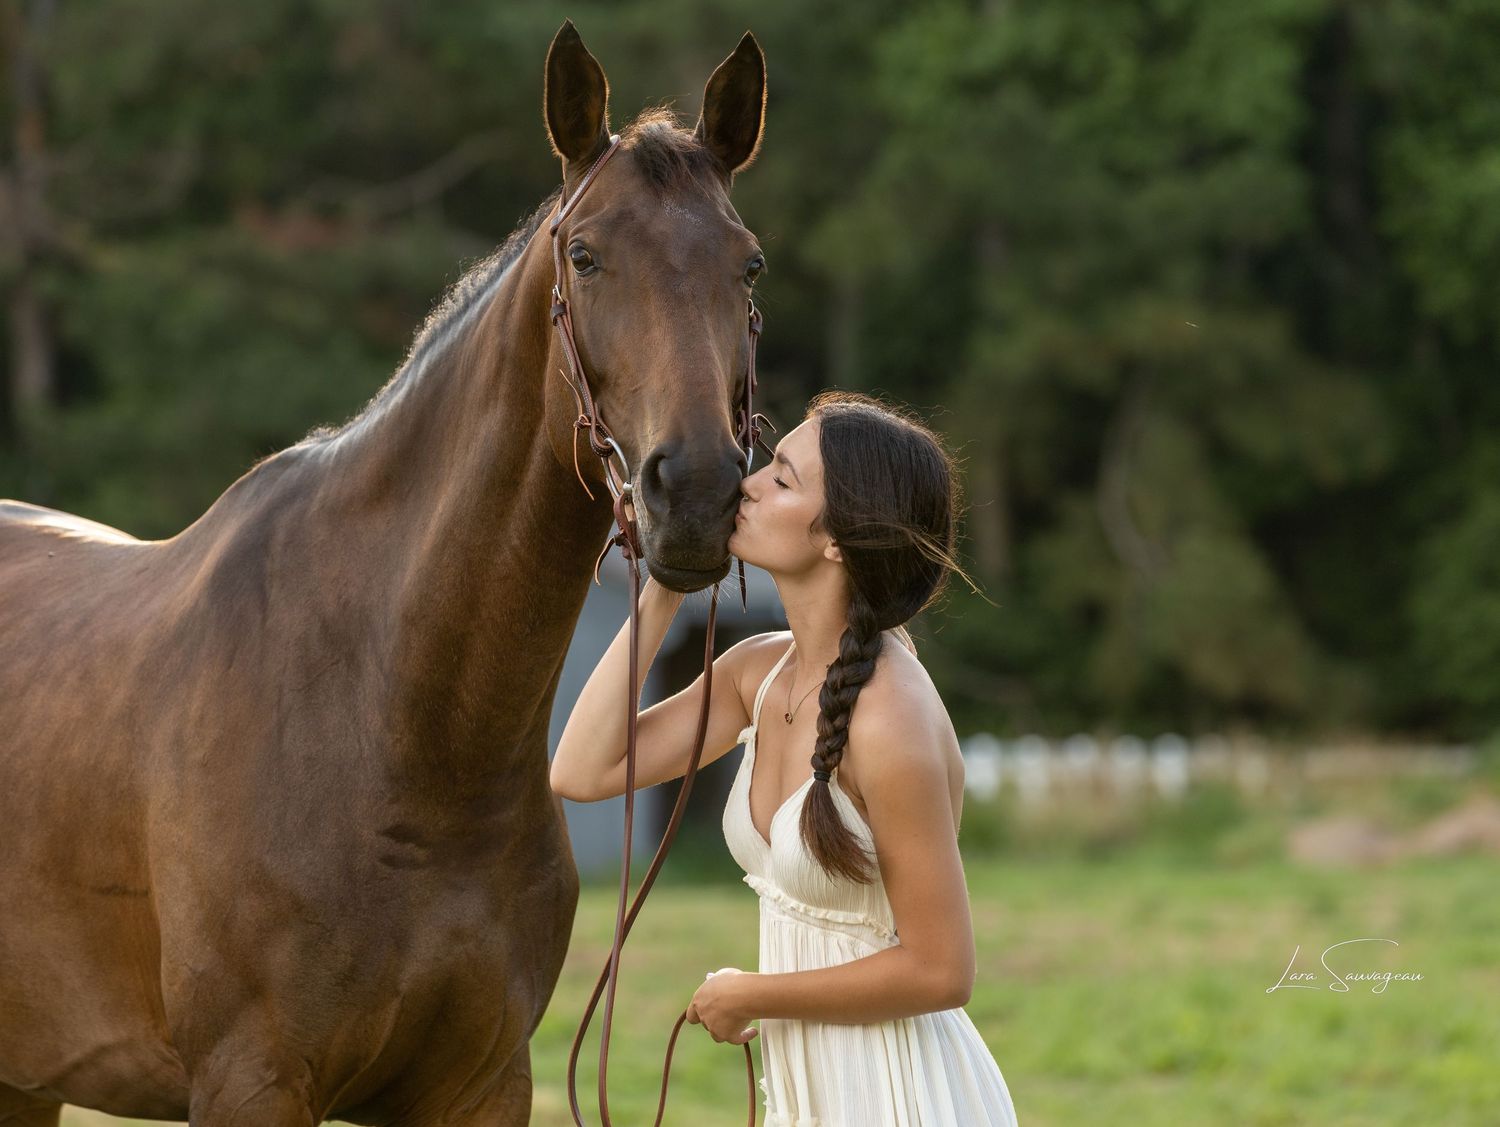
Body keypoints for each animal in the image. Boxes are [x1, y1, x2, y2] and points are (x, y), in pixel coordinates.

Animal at [0, 21, 766, 1126]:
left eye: (747, 267)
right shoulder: (251, 1079)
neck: (397, 722)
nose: (697, 489)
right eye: (585, 256)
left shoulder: (481, 1084)